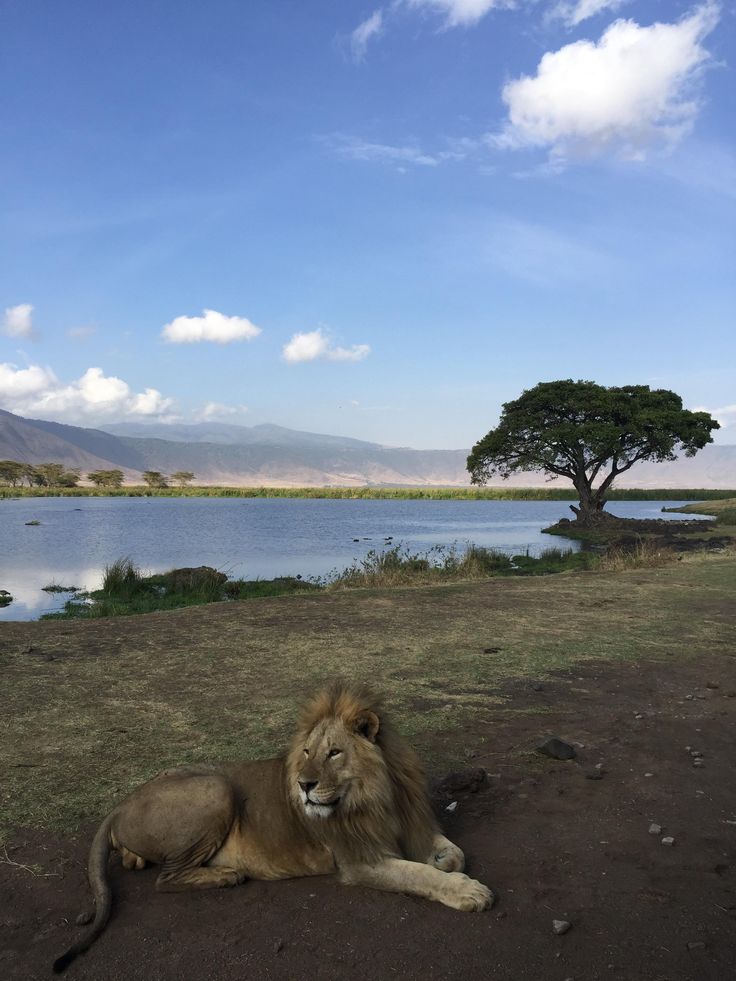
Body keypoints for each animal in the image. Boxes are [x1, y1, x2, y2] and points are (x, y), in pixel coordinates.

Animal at [54, 680, 494, 972]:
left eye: (334, 753)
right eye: (307, 752)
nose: (303, 785)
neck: (377, 795)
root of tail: (120, 805)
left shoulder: (411, 825)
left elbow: (453, 853)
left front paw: (445, 863)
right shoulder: (359, 861)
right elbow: (417, 875)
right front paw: (467, 892)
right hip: (216, 787)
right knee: (167, 878)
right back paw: (226, 875)